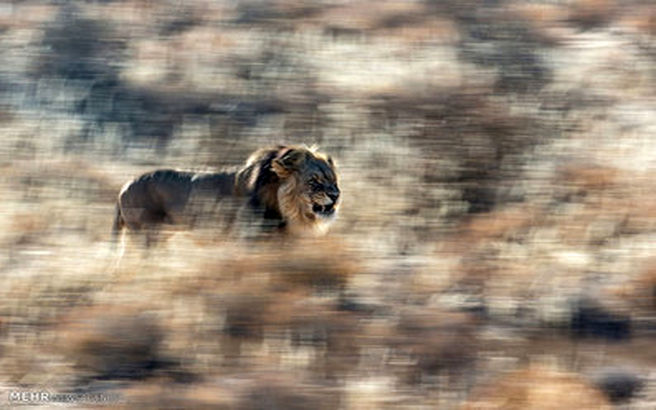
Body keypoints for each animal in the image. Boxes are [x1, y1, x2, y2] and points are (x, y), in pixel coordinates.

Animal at [112, 144, 340, 247]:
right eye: (314, 181)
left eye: (333, 180)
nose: (336, 195)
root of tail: (123, 186)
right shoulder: (247, 238)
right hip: (147, 235)